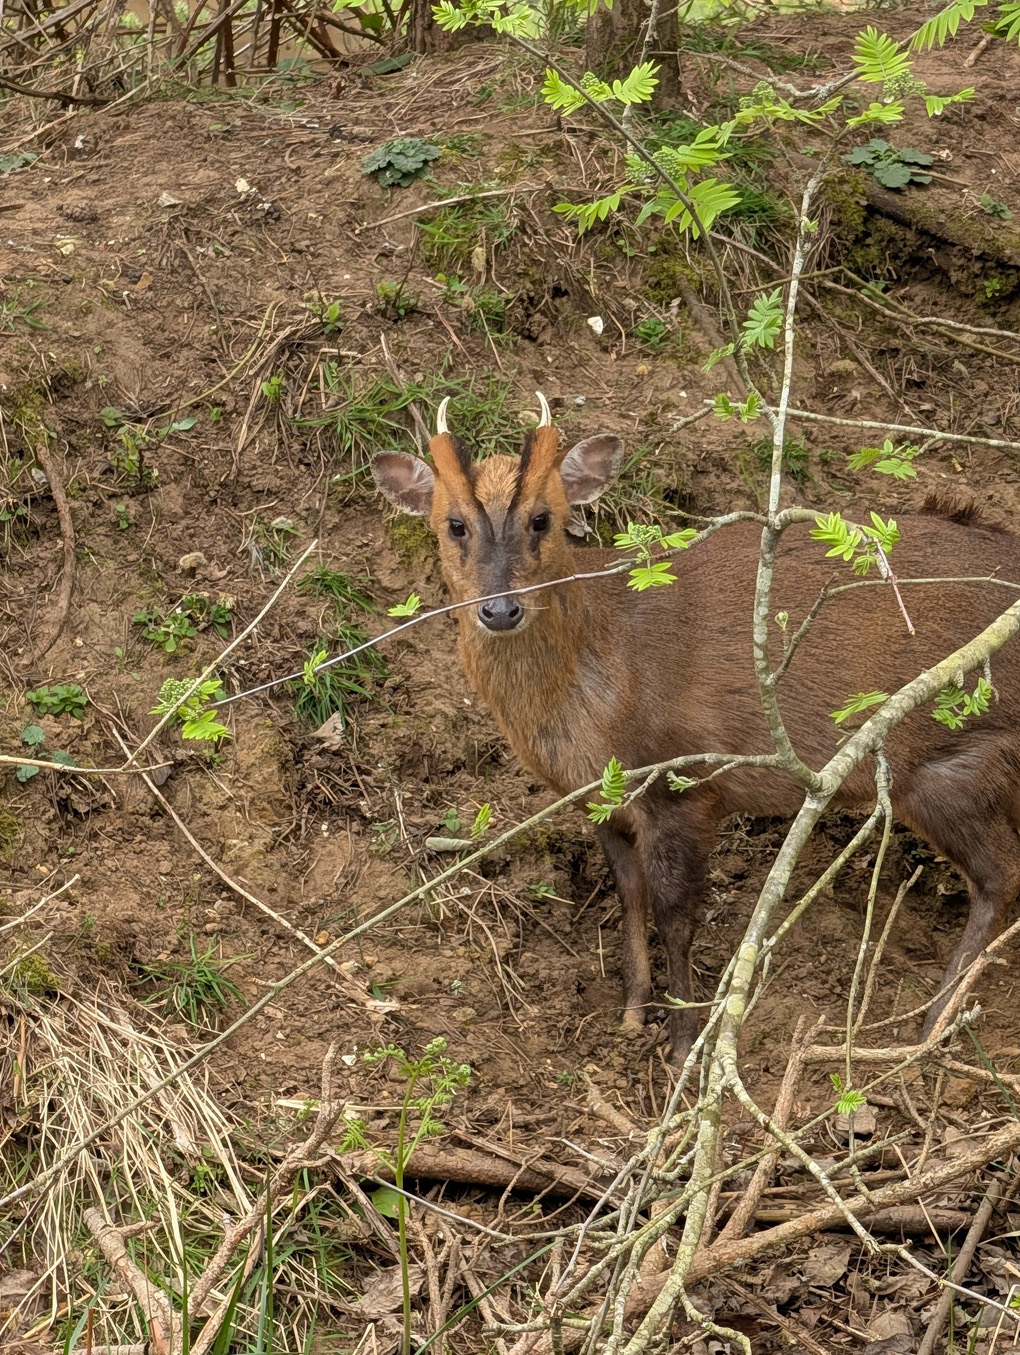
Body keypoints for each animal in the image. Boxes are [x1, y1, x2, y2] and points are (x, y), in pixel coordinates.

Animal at [371, 394, 1020, 1057]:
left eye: (542, 519)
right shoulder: (597, 801)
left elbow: (675, 915)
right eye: (454, 524)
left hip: (953, 761)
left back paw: (932, 1021)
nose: (501, 610)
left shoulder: (683, 783)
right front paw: (633, 1011)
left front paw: (684, 1038)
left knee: (1000, 879)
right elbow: (629, 896)